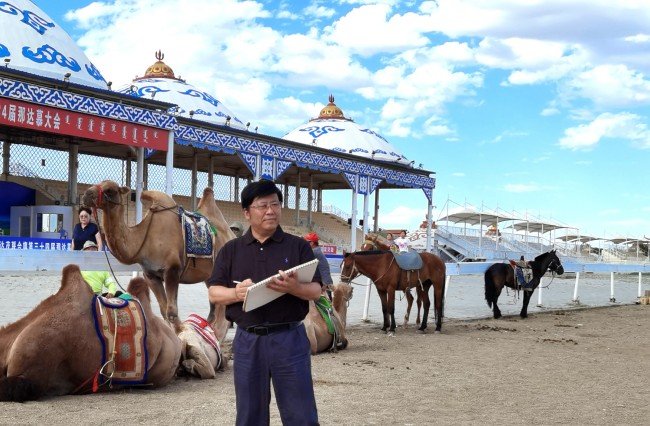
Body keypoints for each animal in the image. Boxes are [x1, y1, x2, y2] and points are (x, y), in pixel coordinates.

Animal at [80, 178, 233, 332]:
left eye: (110, 190)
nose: (86, 195)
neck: (144, 239)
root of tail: (231, 234)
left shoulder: (172, 270)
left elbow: (172, 312)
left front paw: (182, 332)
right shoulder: (151, 275)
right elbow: (164, 310)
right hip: (209, 277)